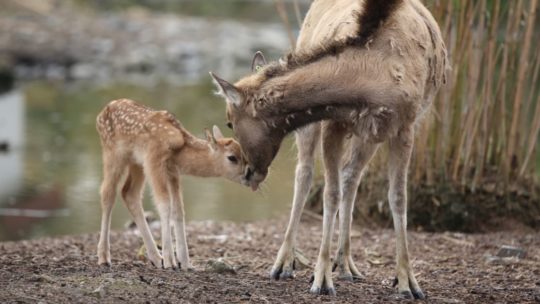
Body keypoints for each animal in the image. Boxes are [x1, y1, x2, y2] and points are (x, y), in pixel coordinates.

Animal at [211, 0, 448, 296]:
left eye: (229, 122)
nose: (249, 173)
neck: (371, 78)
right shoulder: (332, 123)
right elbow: (330, 194)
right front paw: (321, 277)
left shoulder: (404, 127)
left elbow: (398, 197)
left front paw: (407, 281)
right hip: (318, 128)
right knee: (304, 174)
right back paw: (284, 263)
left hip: (370, 135)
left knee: (351, 177)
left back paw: (346, 263)